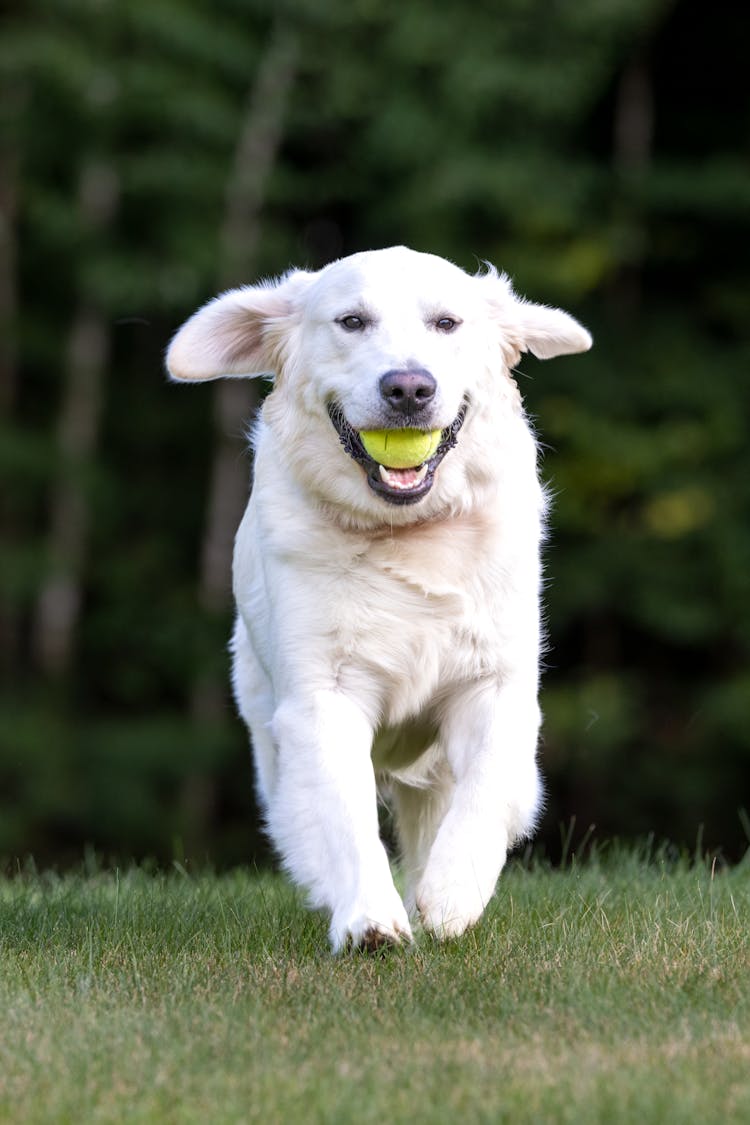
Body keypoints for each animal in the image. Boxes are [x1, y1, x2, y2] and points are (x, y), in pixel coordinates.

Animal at [165, 246, 593, 949]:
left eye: (446, 323)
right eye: (352, 321)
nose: (409, 388)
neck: (408, 533)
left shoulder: (495, 685)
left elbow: (484, 791)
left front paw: (451, 894)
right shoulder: (321, 698)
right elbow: (344, 817)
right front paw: (369, 919)